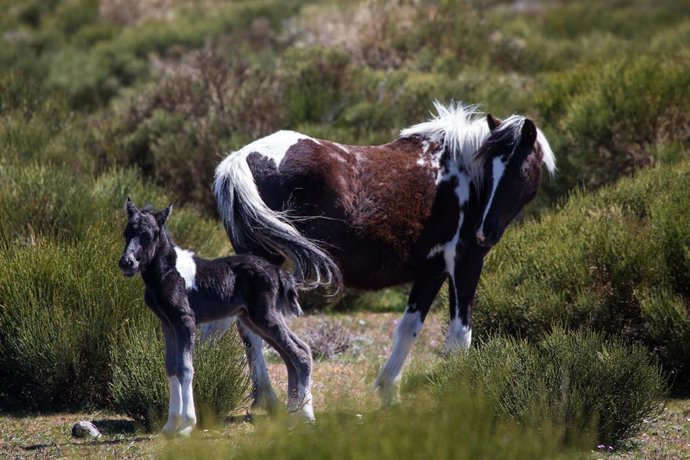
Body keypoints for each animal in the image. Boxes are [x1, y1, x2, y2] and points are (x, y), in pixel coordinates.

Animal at [118, 198, 315, 436]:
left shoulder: (185, 321)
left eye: (148, 234)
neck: (169, 272)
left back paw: (306, 416)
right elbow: (171, 367)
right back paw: (293, 414)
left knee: (300, 354)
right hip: (253, 320)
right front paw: (170, 425)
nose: (127, 263)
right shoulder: (167, 323)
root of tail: (279, 273)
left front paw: (187, 425)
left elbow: (185, 368)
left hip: (265, 316)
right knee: (293, 355)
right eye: (127, 232)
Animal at [213, 101, 556, 404]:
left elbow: (408, 329)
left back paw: (265, 400)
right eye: (490, 168)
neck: (462, 174)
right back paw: (270, 401)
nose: (485, 232)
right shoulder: (465, 263)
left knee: (248, 329)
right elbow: (460, 335)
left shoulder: (432, 272)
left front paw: (388, 390)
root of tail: (240, 158)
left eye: (518, 170)